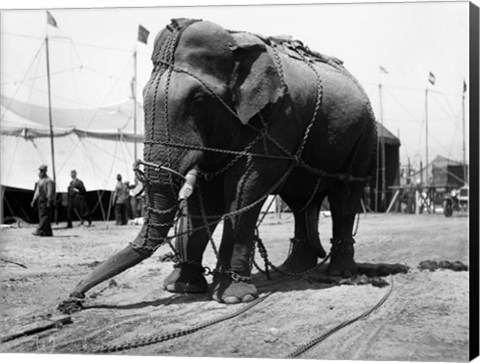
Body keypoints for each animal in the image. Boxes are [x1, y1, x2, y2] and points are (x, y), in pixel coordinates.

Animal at [58, 18, 376, 312]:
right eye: (145, 97)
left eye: (198, 99)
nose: (73, 300)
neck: (237, 46)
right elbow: (204, 200)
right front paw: (181, 288)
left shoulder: (277, 121)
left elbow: (244, 191)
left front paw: (233, 297)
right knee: (300, 202)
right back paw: (294, 269)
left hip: (364, 139)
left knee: (345, 197)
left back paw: (340, 273)